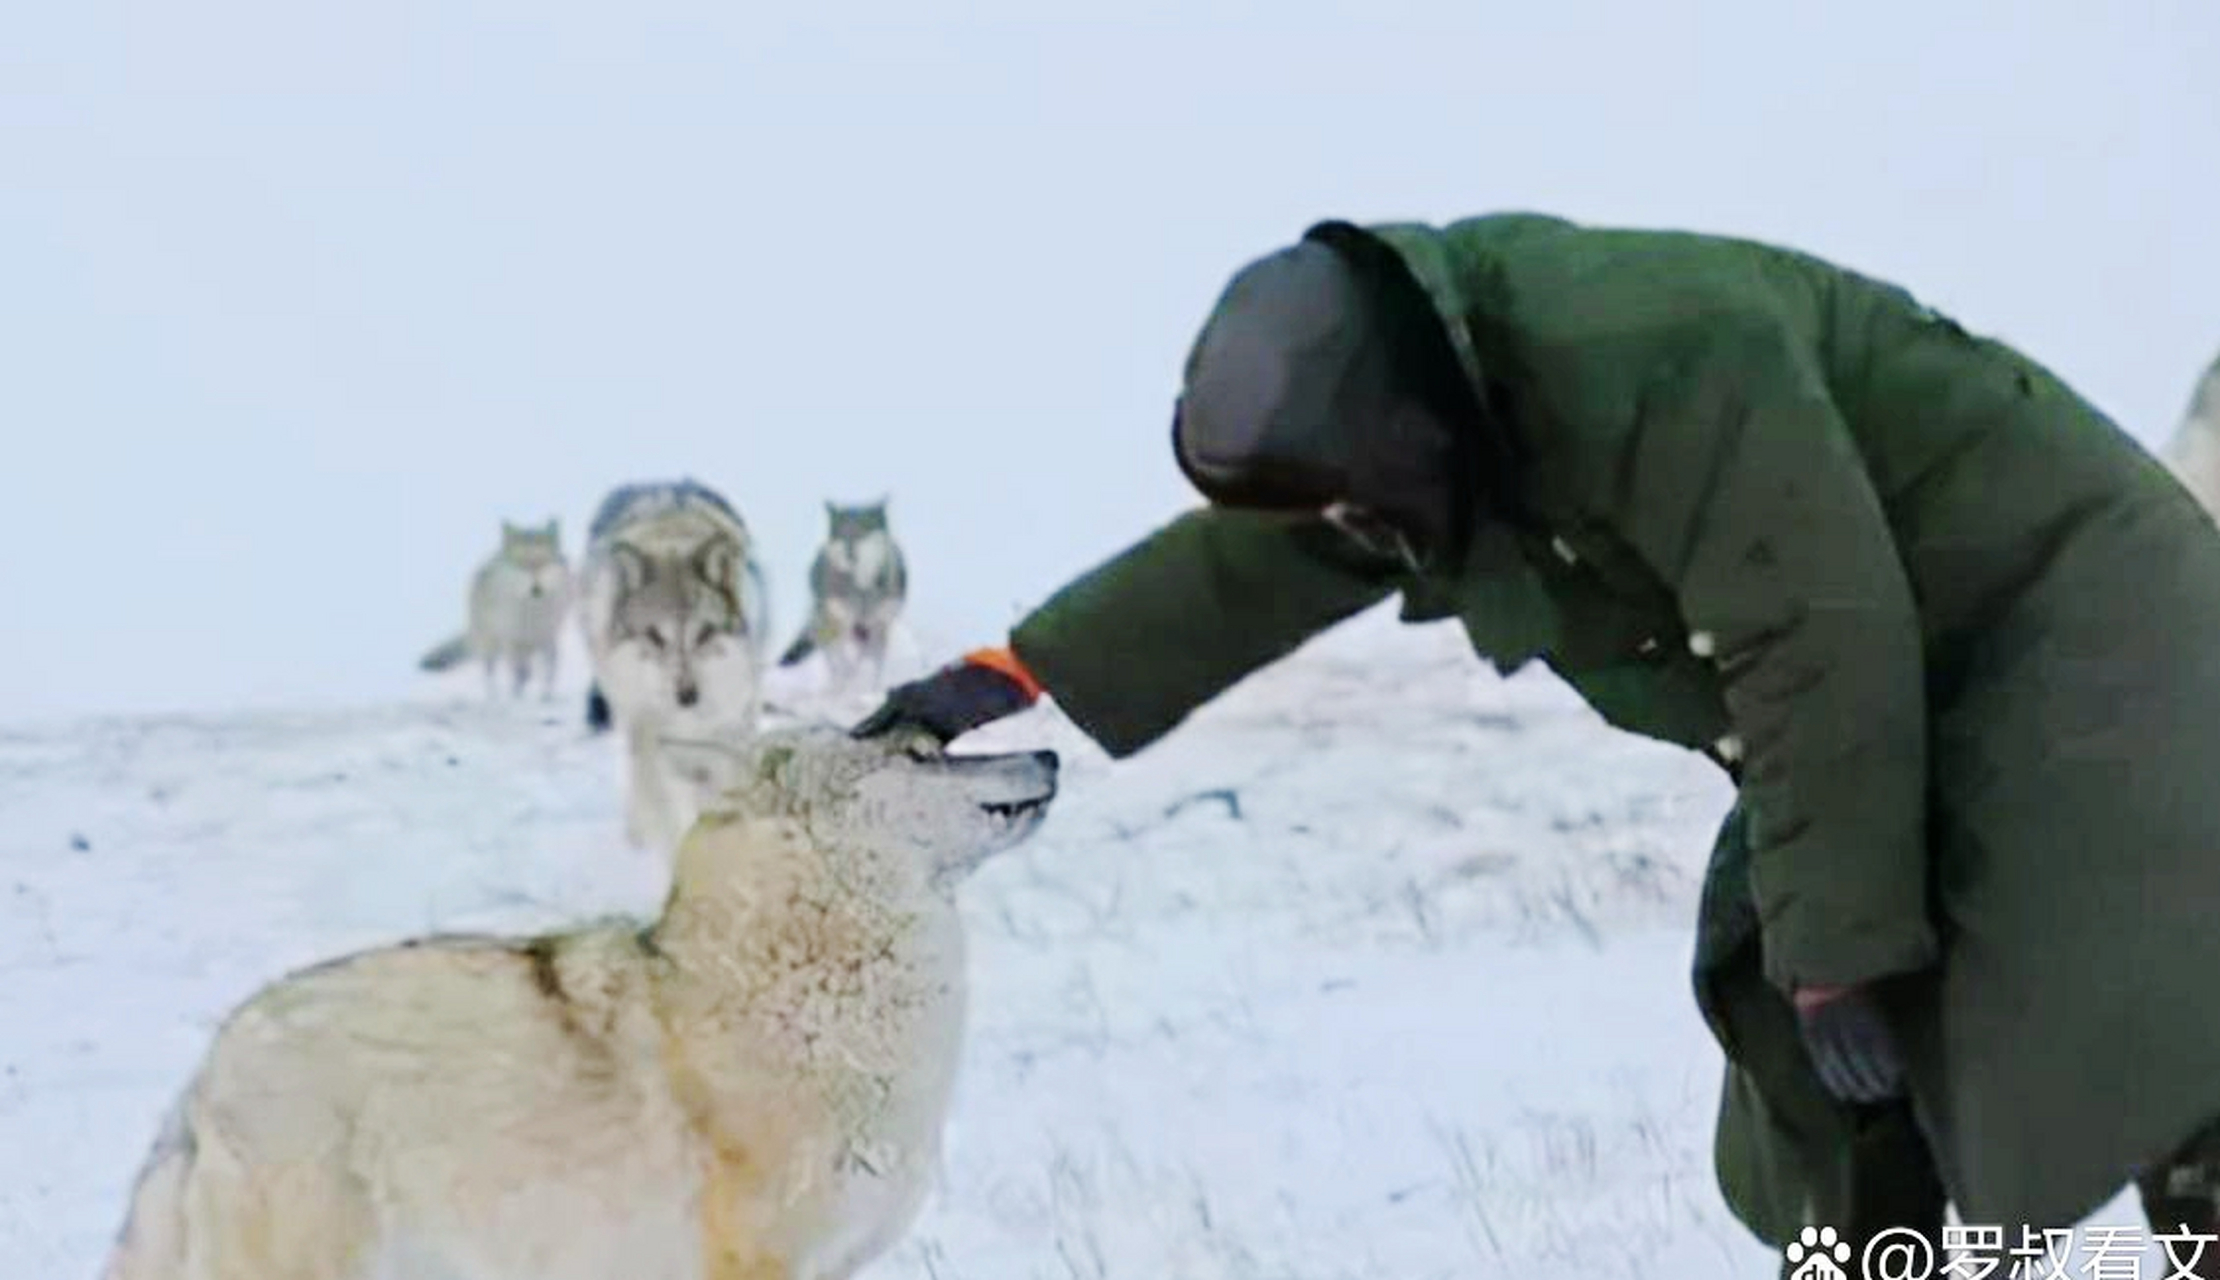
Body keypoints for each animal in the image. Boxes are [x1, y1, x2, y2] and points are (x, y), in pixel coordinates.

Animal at [417, 516, 572, 701]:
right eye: (522, 566)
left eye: (542, 564)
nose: (536, 589)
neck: (531, 614)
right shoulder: (511, 641)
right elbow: (519, 673)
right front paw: (517, 698)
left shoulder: (548, 638)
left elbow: (548, 672)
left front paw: (546, 697)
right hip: (490, 646)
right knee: (490, 674)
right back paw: (494, 698)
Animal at [577, 479, 777, 860]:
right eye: (655, 636)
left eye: (705, 633)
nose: (687, 696)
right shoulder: (657, 747)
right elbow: (676, 817)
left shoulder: (729, 738)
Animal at [777, 494, 905, 692]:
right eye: (842, 534)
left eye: (863, 531)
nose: (849, 552)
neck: (860, 588)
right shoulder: (838, 623)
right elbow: (842, 663)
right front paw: (845, 683)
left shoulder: (877, 626)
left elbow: (870, 663)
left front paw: (870, 688)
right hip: (829, 625)